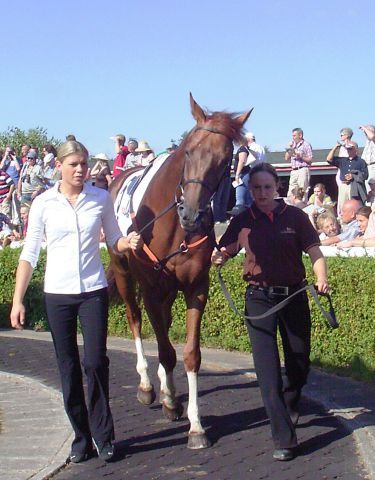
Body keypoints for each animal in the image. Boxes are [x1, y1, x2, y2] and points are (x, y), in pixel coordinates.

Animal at [107, 94, 251, 450]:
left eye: (225, 160)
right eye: (188, 151)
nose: (192, 214)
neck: (172, 226)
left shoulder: (196, 286)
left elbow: (188, 354)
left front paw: (196, 425)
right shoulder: (150, 286)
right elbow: (164, 349)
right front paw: (171, 401)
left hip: (169, 288)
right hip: (124, 273)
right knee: (135, 319)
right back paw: (147, 385)